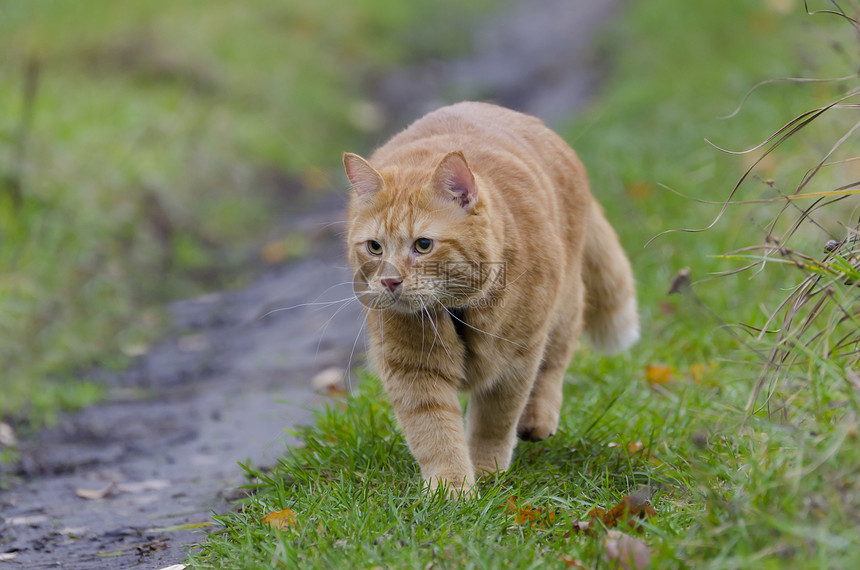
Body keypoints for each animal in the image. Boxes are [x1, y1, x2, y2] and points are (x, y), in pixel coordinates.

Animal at [344, 104, 640, 494]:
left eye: (423, 245)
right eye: (375, 247)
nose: (390, 281)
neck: (455, 311)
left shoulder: (515, 361)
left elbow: (494, 421)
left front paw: (487, 471)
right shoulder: (412, 369)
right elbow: (434, 433)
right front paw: (450, 490)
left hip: (562, 308)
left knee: (554, 362)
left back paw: (537, 418)